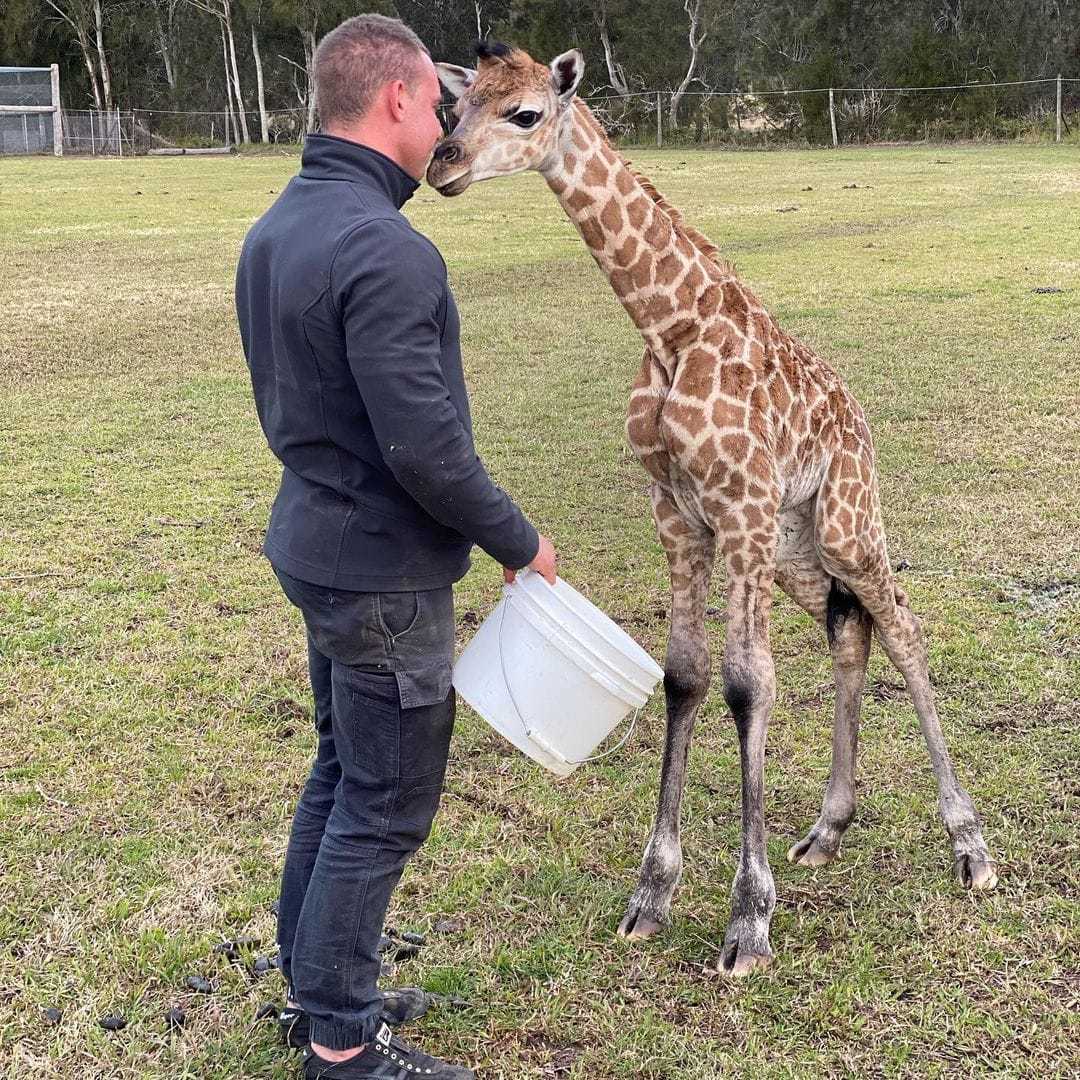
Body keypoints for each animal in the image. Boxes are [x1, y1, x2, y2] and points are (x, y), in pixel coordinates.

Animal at [425, 42, 997, 976]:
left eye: (525, 114)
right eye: (456, 108)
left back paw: (971, 848)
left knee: (903, 625)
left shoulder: (742, 507)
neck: (669, 327)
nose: (444, 167)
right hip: (801, 547)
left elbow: (747, 683)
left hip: (843, 519)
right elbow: (686, 674)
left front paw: (748, 919)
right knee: (850, 628)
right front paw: (652, 895)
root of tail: (860, 418)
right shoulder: (679, 512)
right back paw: (827, 829)